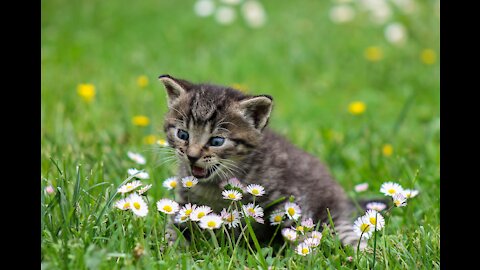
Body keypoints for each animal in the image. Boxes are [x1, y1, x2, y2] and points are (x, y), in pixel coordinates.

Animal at [158, 75, 364, 248]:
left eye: (216, 141)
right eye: (182, 134)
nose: (192, 156)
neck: (214, 186)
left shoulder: (290, 197)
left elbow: (297, 230)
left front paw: (304, 255)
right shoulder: (185, 201)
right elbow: (173, 226)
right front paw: (170, 248)